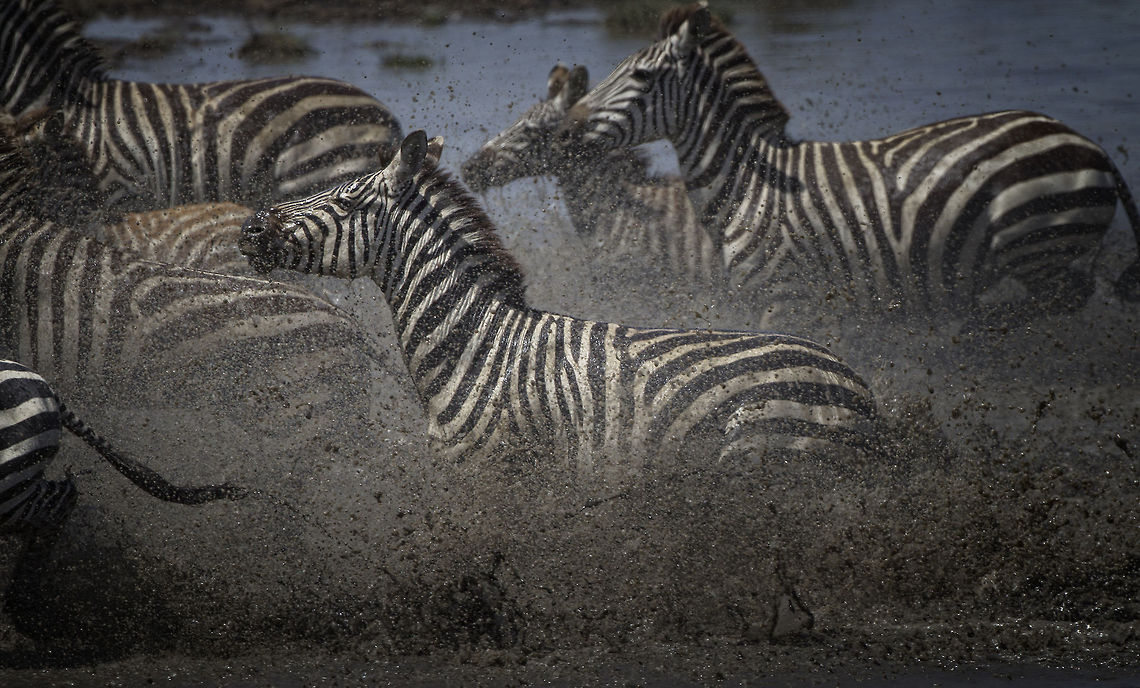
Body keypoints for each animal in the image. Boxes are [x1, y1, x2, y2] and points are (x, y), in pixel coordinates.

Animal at [555, 3, 1140, 317]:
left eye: (640, 76)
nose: (562, 130)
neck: (748, 185)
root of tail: (1091, 144)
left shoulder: (781, 294)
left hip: (1042, 247)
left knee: (1063, 302)